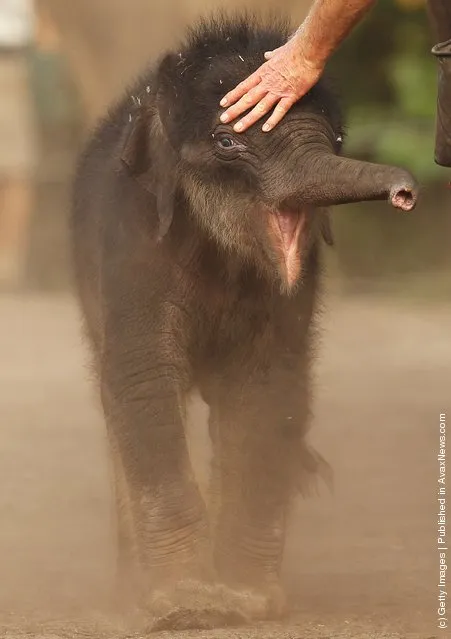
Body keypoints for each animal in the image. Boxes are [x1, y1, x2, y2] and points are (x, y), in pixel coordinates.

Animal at [69, 12, 416, 632]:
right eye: (227, 142)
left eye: (338, 141)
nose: (406, 191)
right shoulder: (132, 244)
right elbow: (143, 380)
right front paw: (187, 605)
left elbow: (269, 387)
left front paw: (248, 598)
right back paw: (131, 588)